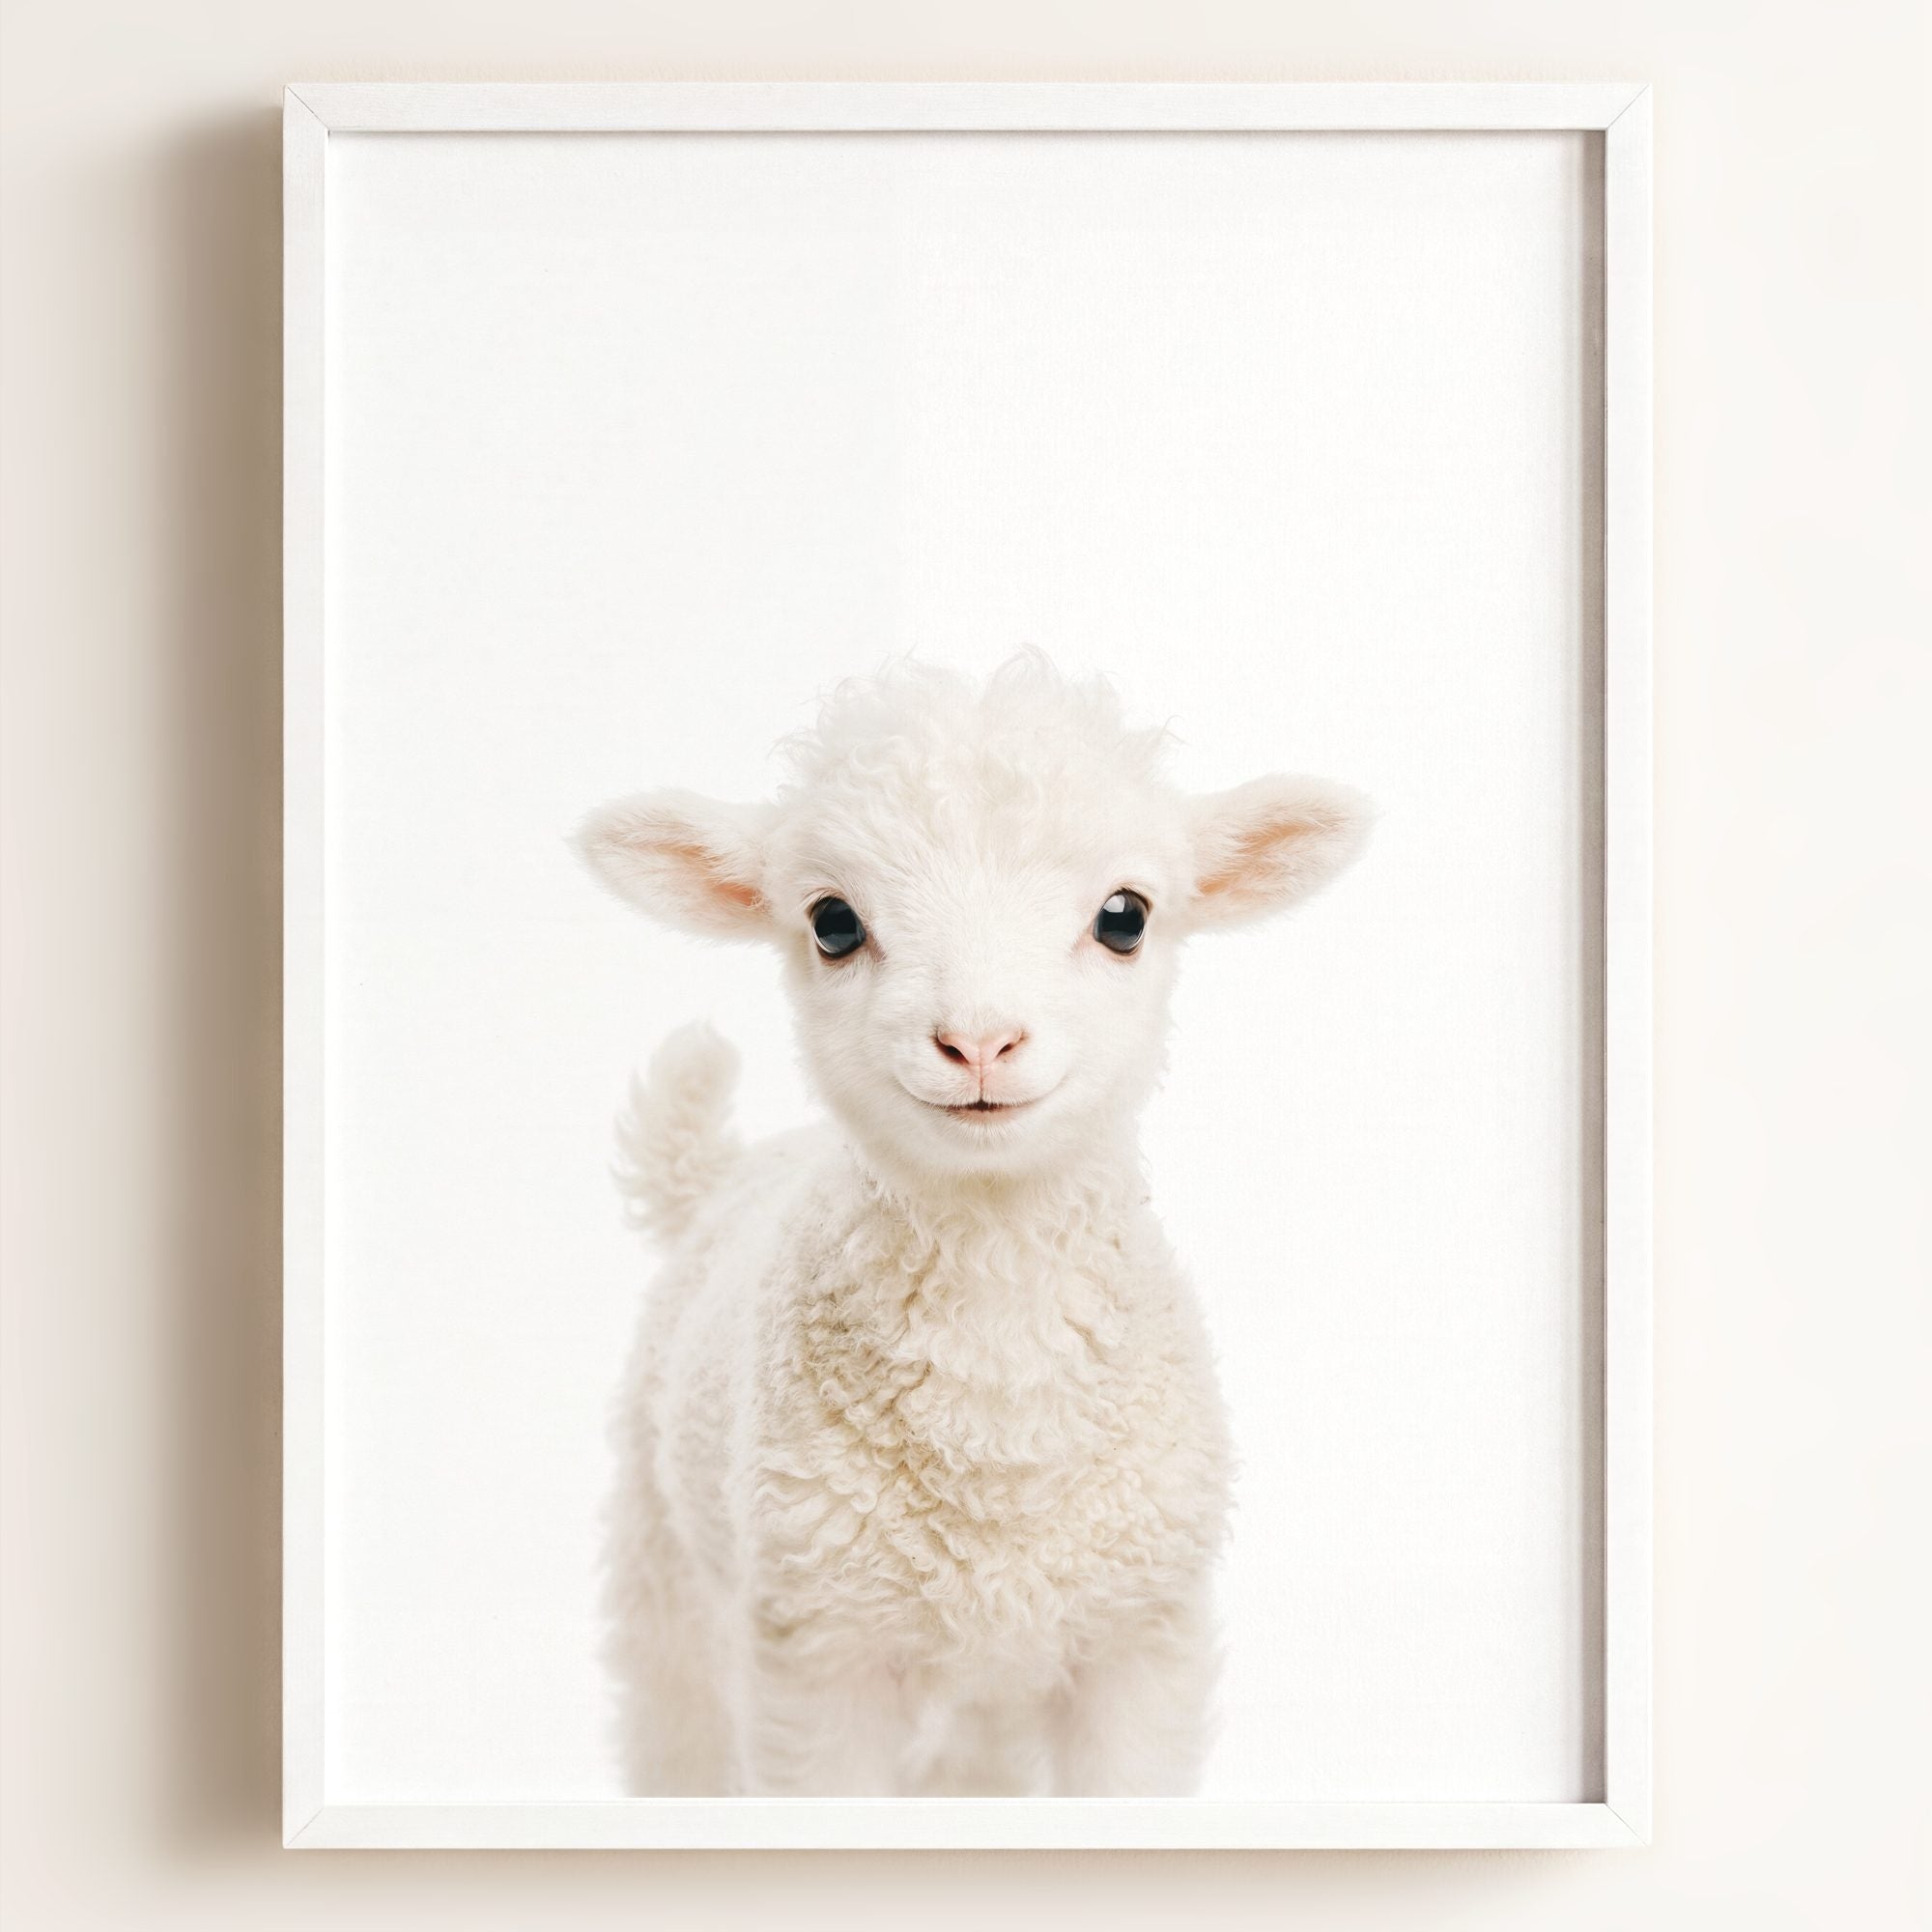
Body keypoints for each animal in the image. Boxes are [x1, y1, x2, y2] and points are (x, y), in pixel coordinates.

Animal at [575, 653, 1370, 1797]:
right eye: (832, 922)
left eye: (1125, 916)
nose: (980, 1040)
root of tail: (723, 1171)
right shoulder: (817, 1653)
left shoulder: (1139, 1641)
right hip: (667, 1574)